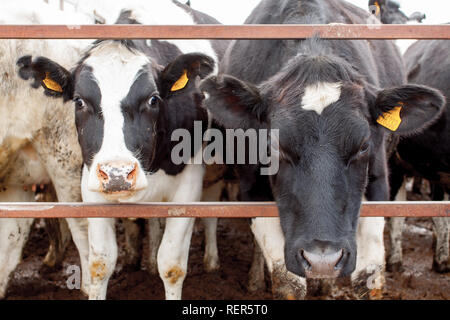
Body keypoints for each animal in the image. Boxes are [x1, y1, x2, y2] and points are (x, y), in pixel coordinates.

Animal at [200, 0, 442, 300]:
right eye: (274, 145)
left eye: (364, 145)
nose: (322, 260)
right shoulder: (251, 188)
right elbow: (287, 281)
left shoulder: (378, 182)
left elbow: (369, 275)